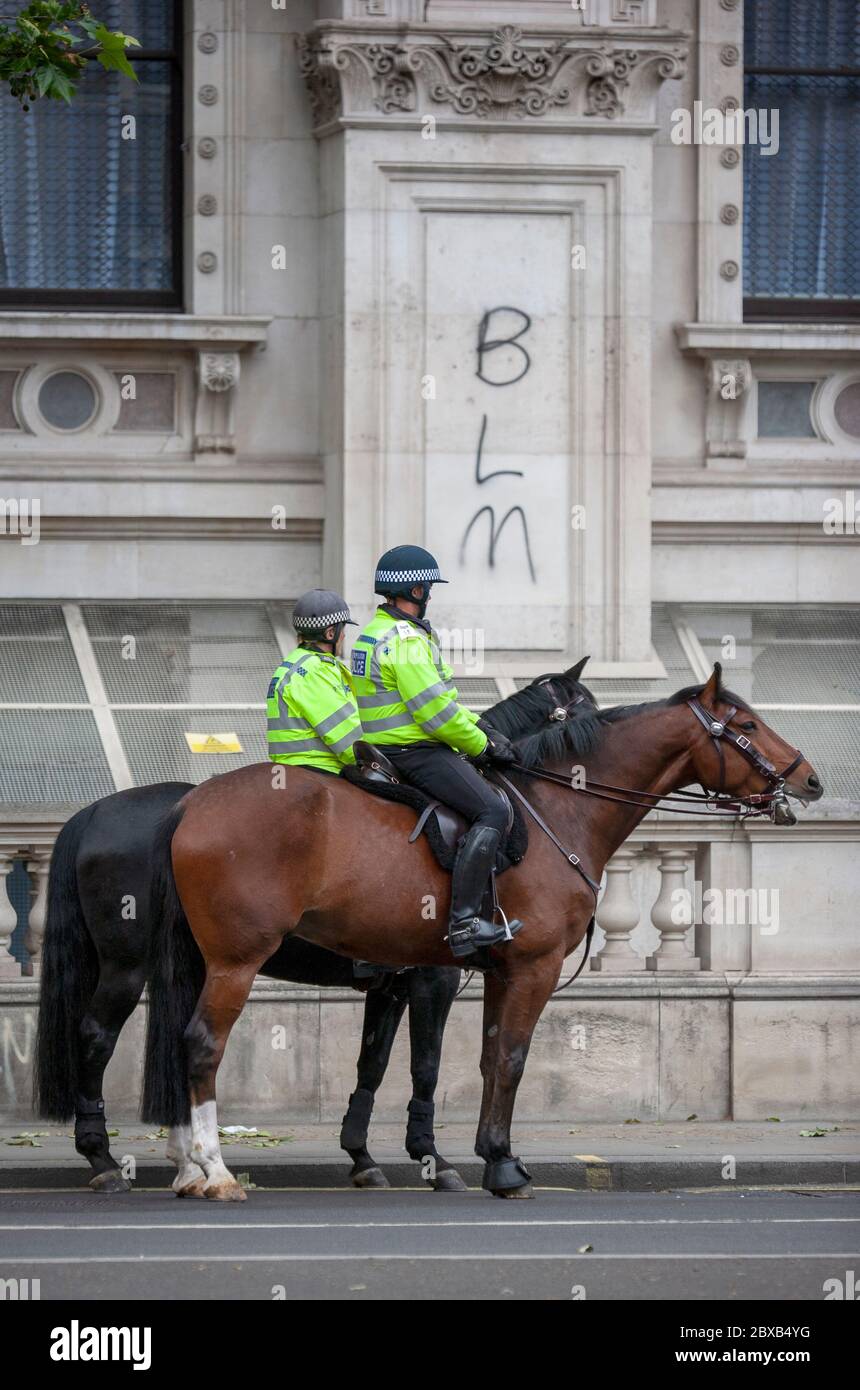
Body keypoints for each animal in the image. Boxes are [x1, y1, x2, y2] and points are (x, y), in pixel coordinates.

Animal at [35, 661, 600, 1195]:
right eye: (585, 708)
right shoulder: (432, 976)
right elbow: (427, 1065)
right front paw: (434, 1160)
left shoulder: (394, 981)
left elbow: (373, 1063)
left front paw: (364, 1156)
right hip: (136, 965)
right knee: (102, 1036)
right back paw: (115, 1159)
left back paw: (179, 1163)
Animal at [144, 661, 822, 1195]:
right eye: (747, 726)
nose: (810, 779)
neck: (555, 810)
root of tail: (190, 802)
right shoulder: (516, 969)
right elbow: (504, 1059)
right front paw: (497, 1165)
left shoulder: (486, 973)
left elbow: (482, 1058)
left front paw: (477, 1155)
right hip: (236, 960)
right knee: (202, 1043)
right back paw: (213, 1170)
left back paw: (188, 1168)